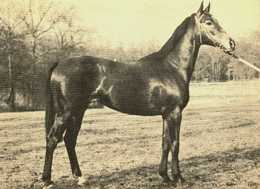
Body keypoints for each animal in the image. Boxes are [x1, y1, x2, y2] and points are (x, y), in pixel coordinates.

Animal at [40, 1, 236, 188]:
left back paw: (80, 178)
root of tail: (59, 64)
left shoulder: (166, 114)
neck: (172, 67)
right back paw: (47, 180)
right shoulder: (175, 112)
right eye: (209, 22)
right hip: (66, 112)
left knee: (69, 140)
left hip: (78, 112)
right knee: (53, 139)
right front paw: (179, 178)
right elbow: (175, 143)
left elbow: (165, 143)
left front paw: (165, 177)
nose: (232, 43)